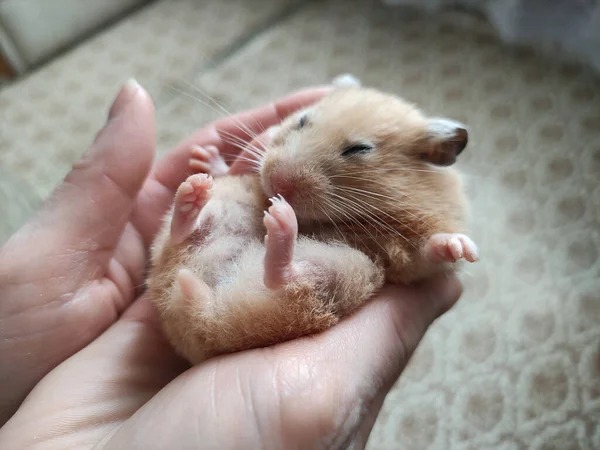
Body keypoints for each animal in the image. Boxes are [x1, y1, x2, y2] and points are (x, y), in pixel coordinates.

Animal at [146, 76, 478, 366]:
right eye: (302, 120)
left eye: (359, 149)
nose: (277, 184)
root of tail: (203, 311)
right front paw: (205, 157)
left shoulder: (411, 253)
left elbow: (429, 249)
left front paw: (462, 248)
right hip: (229, 205)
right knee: (186, 232)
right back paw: (197, 191)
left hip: (340, 275)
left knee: (283, 278)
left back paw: (280, 223)